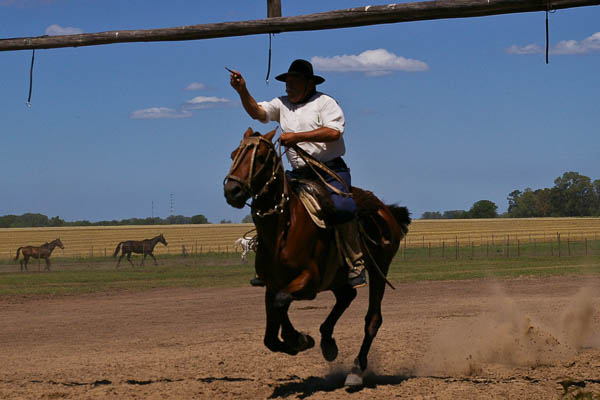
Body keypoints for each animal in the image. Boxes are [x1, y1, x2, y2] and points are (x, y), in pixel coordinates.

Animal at [223, 129, 410, 388]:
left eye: (260, 157)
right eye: (233, 154)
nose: (232, 190)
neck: (282, 230)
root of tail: (385, 210)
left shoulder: (309, 281)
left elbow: (281, 303)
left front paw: (299, 339)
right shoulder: (272, 285)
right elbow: (271, 332)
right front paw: (297, 341)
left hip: (379, 270)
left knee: (372, 319)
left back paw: (356, 370)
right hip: (337, 277)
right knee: (346, 296)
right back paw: (327, 341)